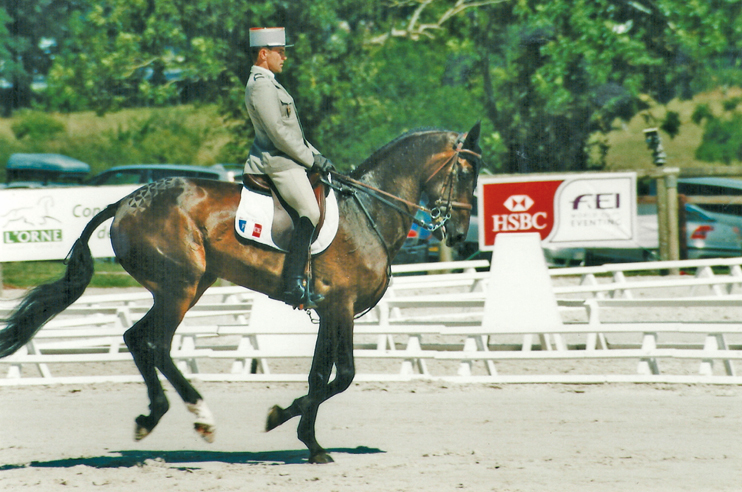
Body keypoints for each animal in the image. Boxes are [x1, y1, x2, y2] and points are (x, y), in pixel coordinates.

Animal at [0, 122, 486, 462]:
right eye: (465, 170)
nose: (460, 234)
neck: (368, 212)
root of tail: (125, 201)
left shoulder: (329, 310)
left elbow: (318, 376)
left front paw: (311, 444)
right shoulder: (342, 307)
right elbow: (343, 375)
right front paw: (281, 419)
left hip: (189, 285)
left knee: (140, 340)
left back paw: (156, 417)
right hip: (179, 286)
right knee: (153, 343)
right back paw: (198, 417)